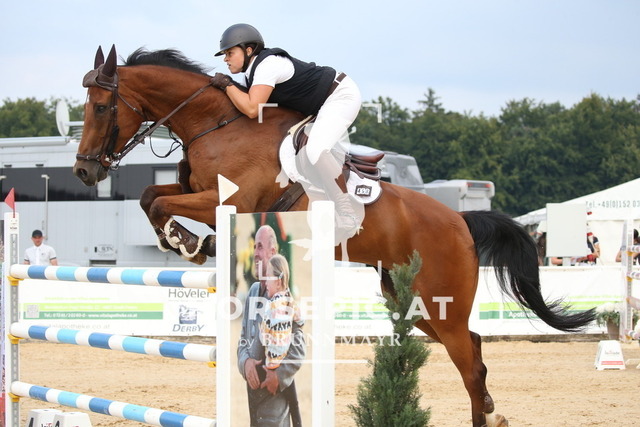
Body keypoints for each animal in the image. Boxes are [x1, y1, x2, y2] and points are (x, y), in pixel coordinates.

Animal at [74, 45, 595, 427]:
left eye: (100, 107)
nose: (83, 171)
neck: (215, 125)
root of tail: (459, 222)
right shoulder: (193, 189)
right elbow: (151, 195)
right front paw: (183, 240)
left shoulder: (229, 201)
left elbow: (161, 203)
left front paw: (189, 242)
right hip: (412, 302)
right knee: (476, 348)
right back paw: (489, 410)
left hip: (439, 300)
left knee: (469, 364)